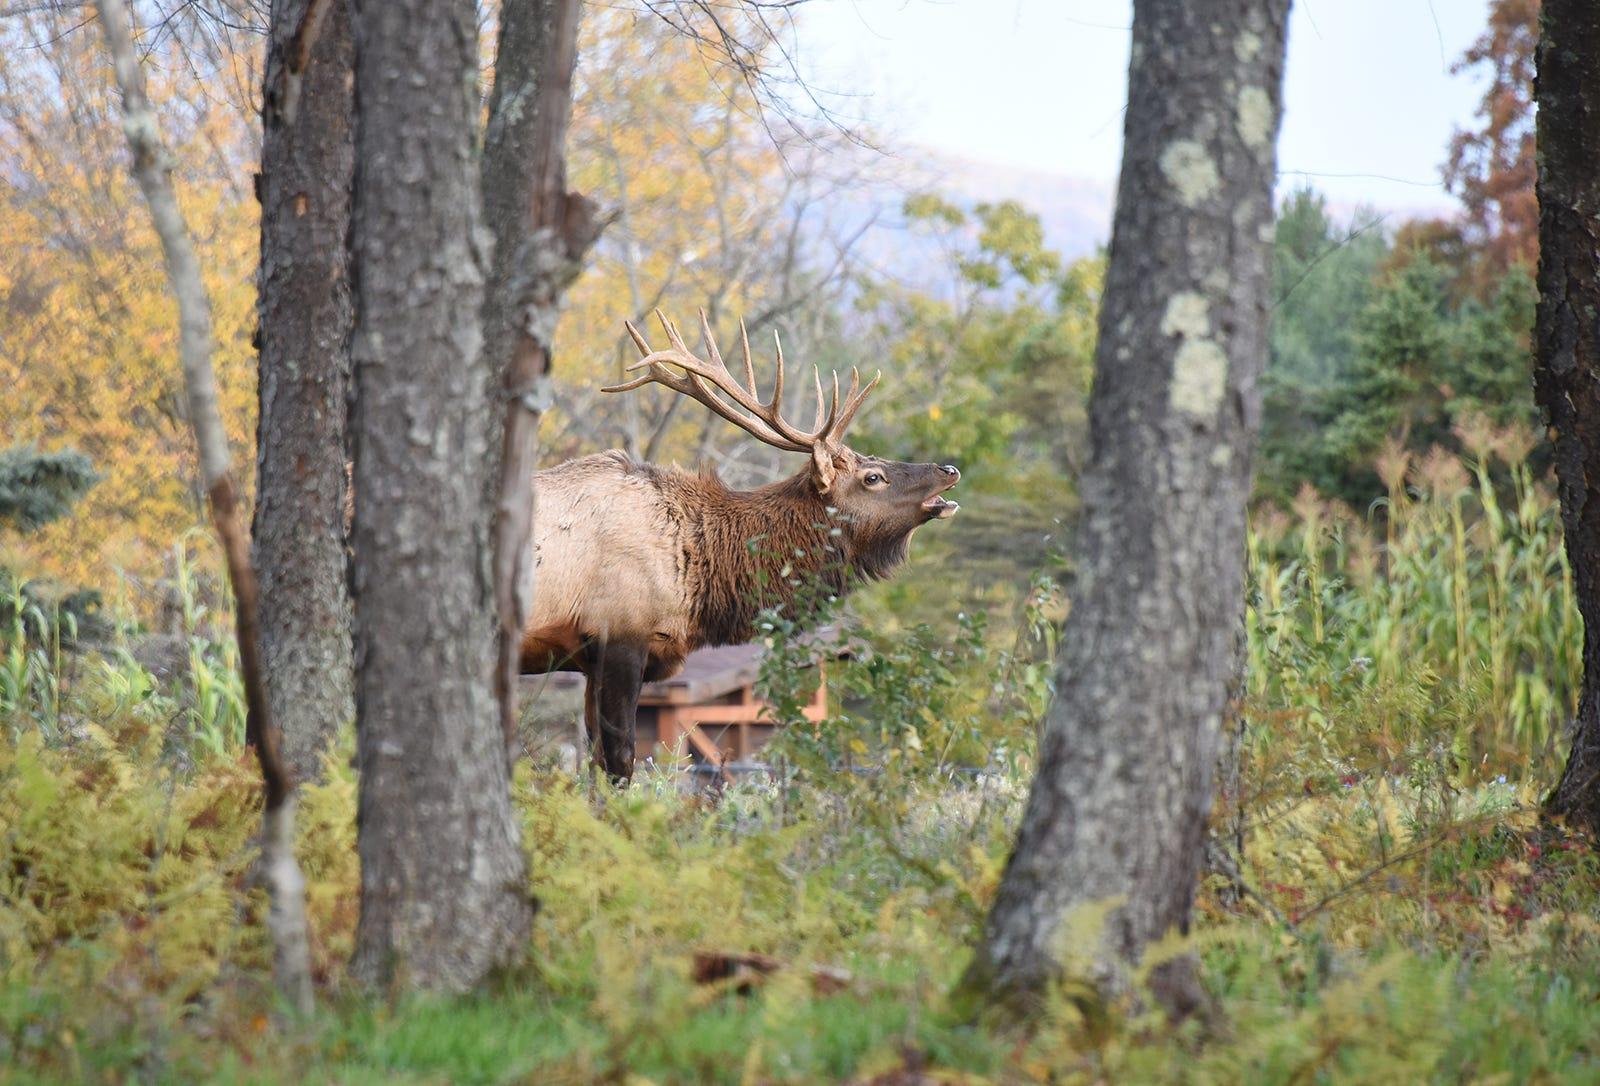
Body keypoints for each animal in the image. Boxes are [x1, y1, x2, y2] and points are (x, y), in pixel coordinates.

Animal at [521, 310, 960, 777]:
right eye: (872, 477)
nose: (949, 469)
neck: (700, 575)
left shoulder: (590, 661)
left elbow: (595, 766)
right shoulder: (618, 635)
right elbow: (620, 761)